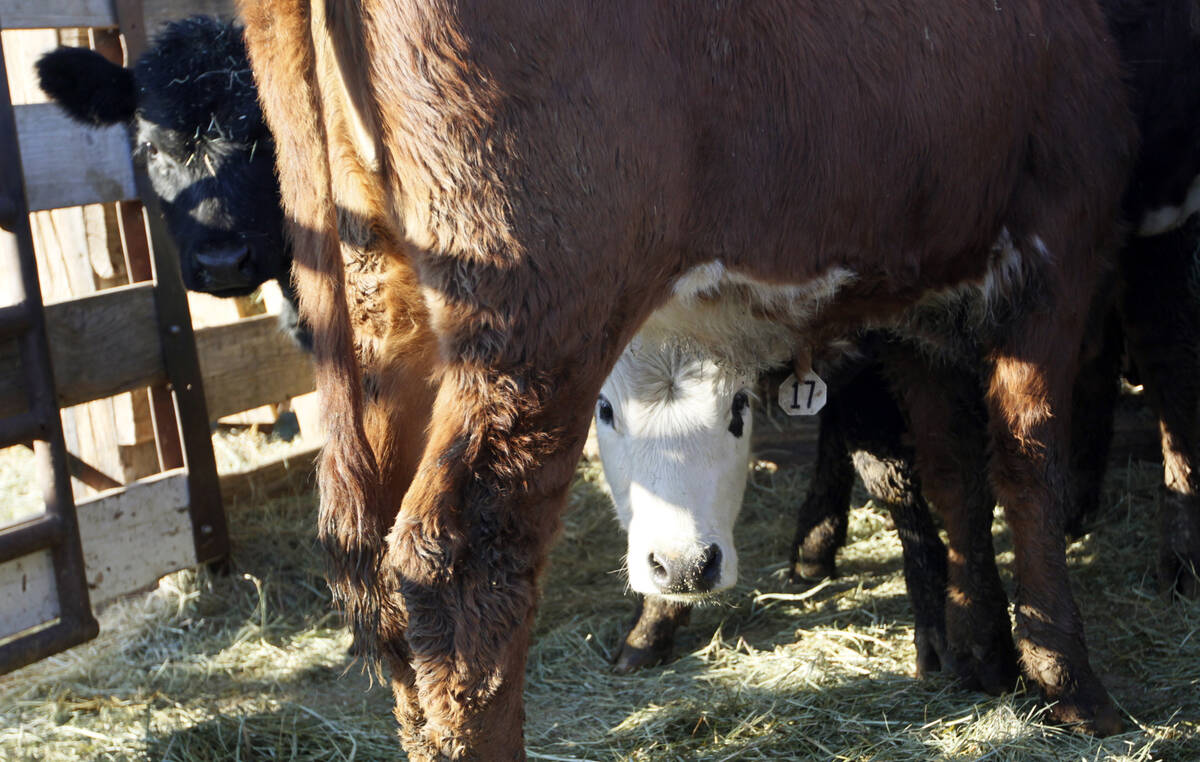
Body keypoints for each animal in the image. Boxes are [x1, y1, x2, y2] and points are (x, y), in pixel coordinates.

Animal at [238, 0, 1136, 756]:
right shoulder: (1060, 235)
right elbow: (1027, 466)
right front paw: (1068, 681)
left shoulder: (924, 295)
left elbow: (953, 475)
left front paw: (984, 654)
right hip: (535, 320)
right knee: (459, 569)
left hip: (384, 313)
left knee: (381, 576)